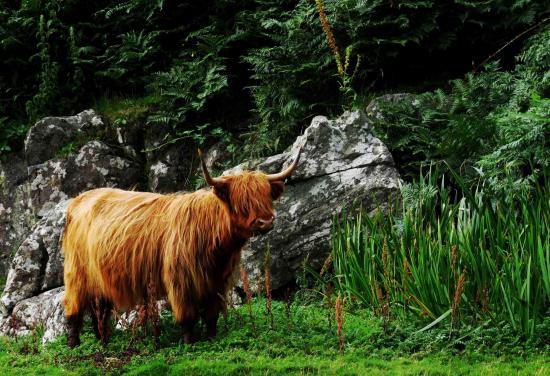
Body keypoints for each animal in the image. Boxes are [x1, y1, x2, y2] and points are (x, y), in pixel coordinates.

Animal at [62, 148, 302, 348]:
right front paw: (189, 344)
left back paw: (103, 341)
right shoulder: (180, 280)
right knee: (74, 309)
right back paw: (75, 345)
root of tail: (78, 200)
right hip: (77, 274)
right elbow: (187, 316)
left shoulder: (217, 281)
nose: (265, 222)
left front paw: (212, 338)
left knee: (99, 310)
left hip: (99, 277)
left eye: (267, 196)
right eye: (242, 202)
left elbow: (212, 314)